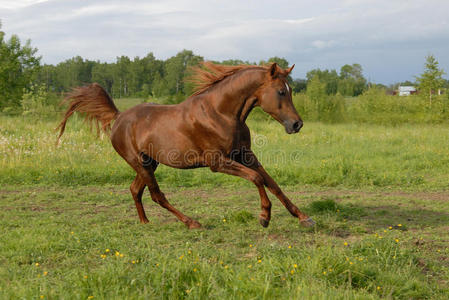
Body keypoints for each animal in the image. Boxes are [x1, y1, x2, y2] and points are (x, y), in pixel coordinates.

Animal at [57, 62, 316, 229]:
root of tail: (119, 117)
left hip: (150, 163)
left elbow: (273, 183)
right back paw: (192, 222)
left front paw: (304, 218)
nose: (297, 124)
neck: (221, 113)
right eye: (281, 91)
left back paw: (145, 223)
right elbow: (257, 178)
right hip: (139, 163)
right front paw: (264, 217)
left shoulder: (245, 154)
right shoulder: (218, 163)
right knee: (156, 195)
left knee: (135, 189)